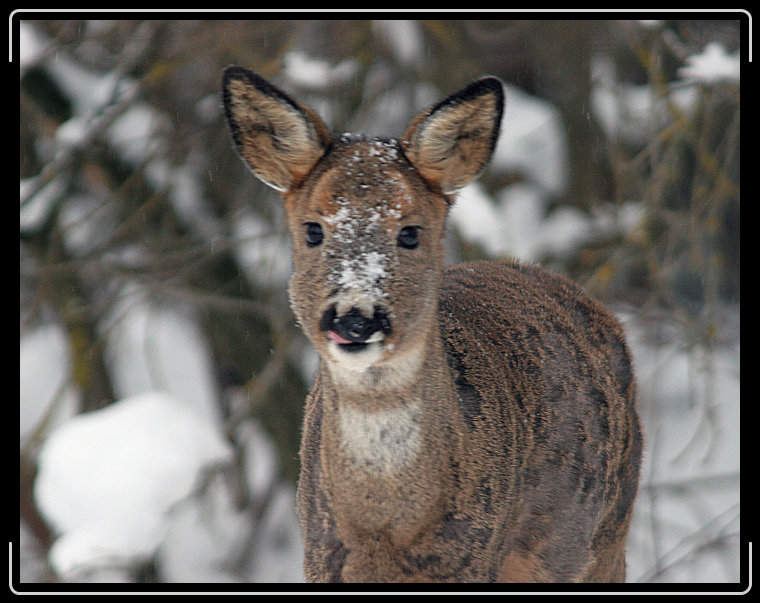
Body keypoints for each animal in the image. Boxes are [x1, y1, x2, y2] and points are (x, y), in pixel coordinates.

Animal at [221, 67, 640, 584]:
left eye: (410, 232)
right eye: (313, 229)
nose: (355, 318)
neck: (385, 531)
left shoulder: (475, 557)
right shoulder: (319, 555)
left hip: (607, 537)